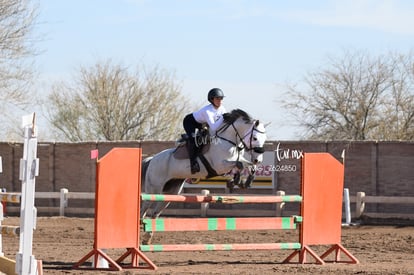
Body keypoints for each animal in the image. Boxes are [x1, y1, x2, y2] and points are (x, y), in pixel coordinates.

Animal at [141, 109, 266, 243]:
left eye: (264, 139)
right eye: (255, 138)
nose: (258, 159)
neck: (229, 140)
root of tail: (152, 159)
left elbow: (248, 165)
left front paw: (244, 182)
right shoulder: (220, 166)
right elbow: (240, 165)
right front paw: (235, 181)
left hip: (171, 193)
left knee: (155, 213)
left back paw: (147, 239)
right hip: (153, 190)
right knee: (144, 208)